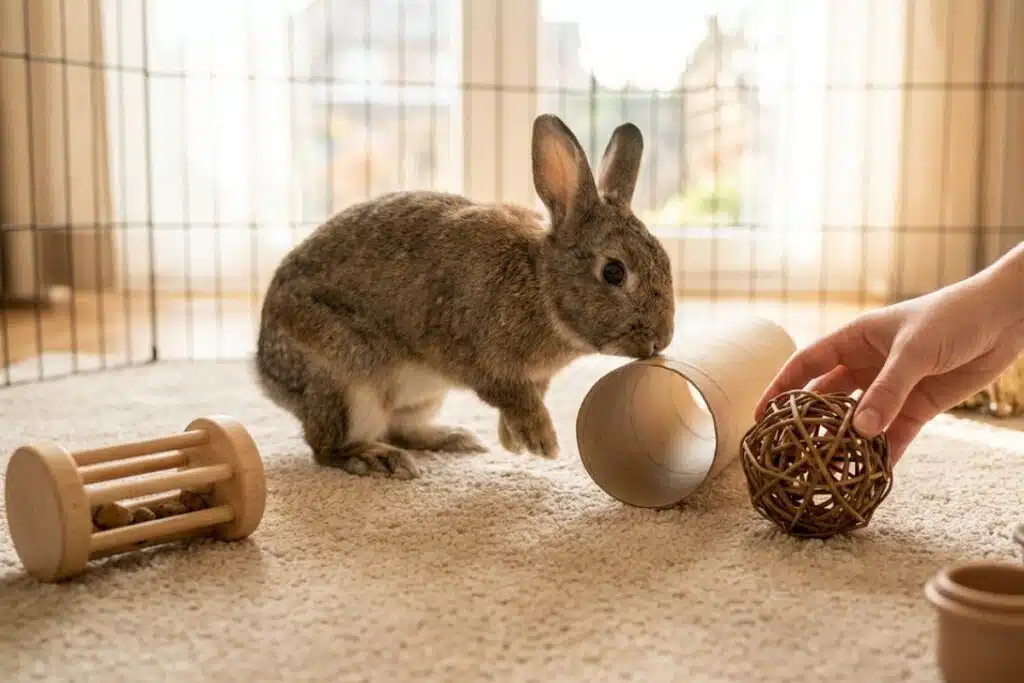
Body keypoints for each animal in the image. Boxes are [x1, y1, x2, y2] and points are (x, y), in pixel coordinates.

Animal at [253, 113, 676, 479]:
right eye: (614, 271)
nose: (662, 339)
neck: (541, 282)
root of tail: (266, 375)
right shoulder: (485, 360)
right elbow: (513, 397)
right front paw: (540, 440)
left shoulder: (534, 378)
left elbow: (524, 401)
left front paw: (511, 439)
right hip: (349, 381)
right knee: (326, 446)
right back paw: (376, 459)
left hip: (420, 397)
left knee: (397, 427)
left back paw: (452, 438)